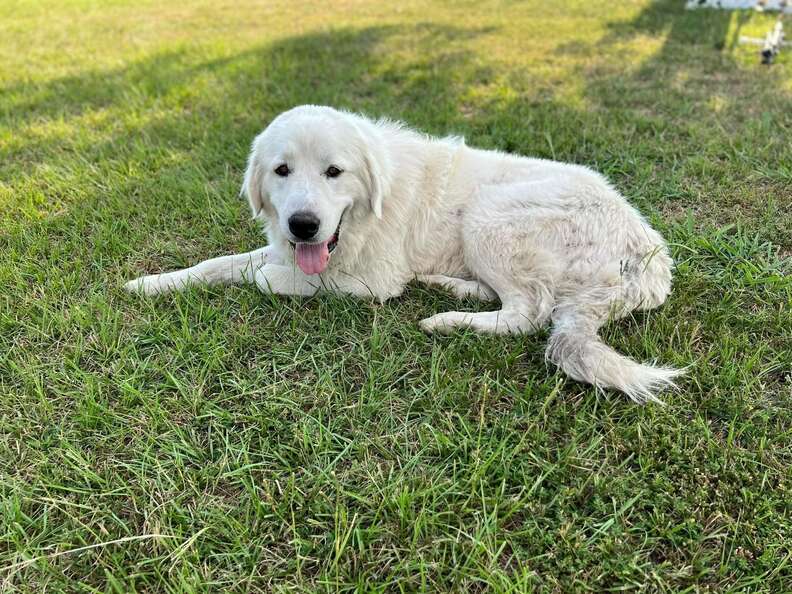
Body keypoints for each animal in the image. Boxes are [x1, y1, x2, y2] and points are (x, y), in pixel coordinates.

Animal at [127, 105, 684, 402]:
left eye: (334, 172)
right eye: (281, 171)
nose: (303, 225)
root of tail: (648, 256)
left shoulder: (373, 281)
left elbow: (264, 276)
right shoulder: (286, 247)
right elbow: (216, 265)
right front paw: (151, 283)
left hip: (488, 215)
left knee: (528, 312)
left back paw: (448, 320)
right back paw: (449, 285)